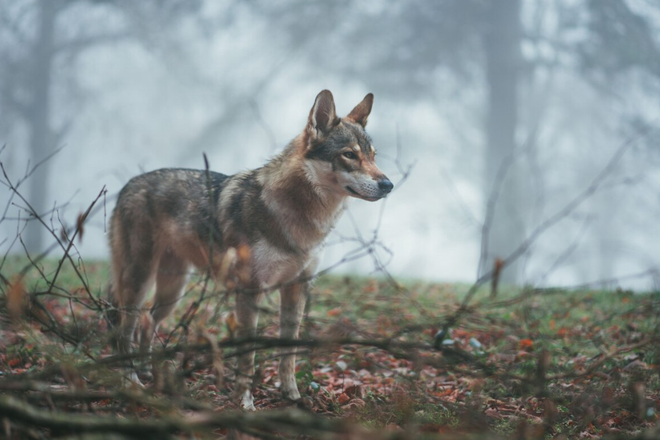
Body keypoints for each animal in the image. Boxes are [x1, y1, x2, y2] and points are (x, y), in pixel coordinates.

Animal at [109, 89, 392, 410]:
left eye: (373, 156)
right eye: (350, 154)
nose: (388, 184)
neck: (298, 217)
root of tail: (128, 185)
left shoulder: (297, 288)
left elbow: (288, 354)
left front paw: (292, 397)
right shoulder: (249, 291)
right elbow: (249, 356)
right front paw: (245, 402)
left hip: (173, 290)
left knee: (147, 322)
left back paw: (146, 371)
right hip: (140, 281)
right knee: (125, 329)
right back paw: (131, 381)